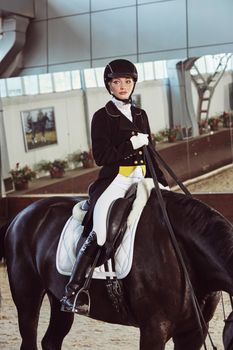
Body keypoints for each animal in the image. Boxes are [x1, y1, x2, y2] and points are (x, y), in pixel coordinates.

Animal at [0, 189, 233, 350]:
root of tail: (19, 216)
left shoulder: (193, 332)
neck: (183, 251)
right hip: (28, 300)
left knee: (51, 341)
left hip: (58, 300)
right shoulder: (154, 330)